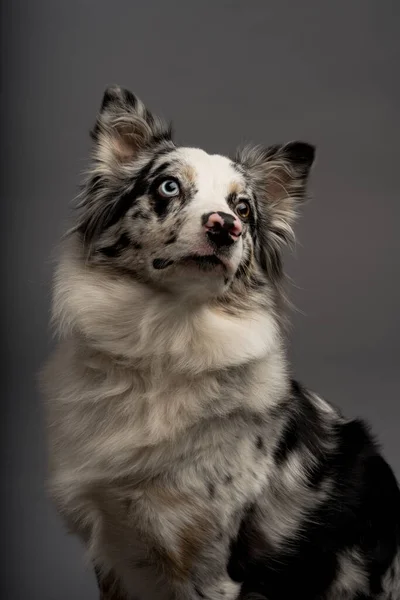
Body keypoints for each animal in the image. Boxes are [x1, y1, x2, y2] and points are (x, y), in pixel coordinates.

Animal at [41, 85, 400, 600]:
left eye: (244, 207)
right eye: (168, 186)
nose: (225, 225)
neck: (165, 338)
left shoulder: (208, 569)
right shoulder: (113, 556)